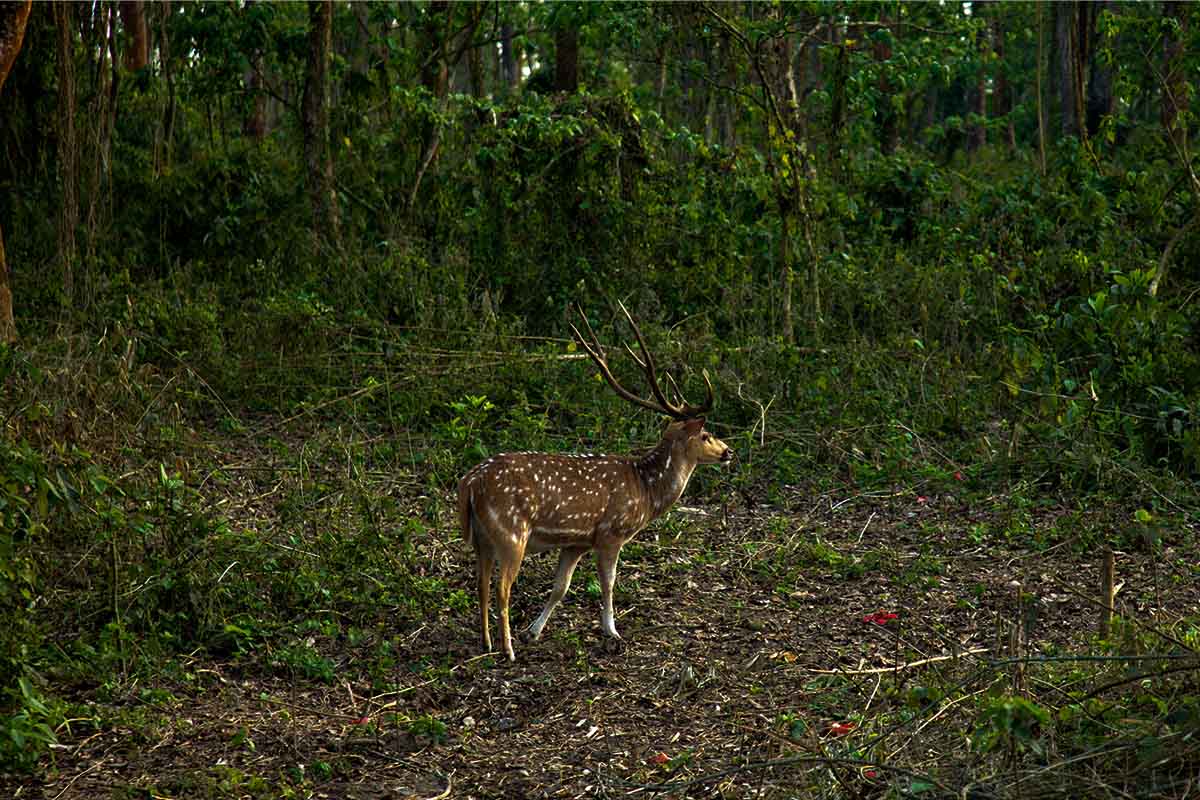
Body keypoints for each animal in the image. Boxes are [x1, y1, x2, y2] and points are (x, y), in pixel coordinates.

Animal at [456, 303, 729, 662]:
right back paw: (508, 649)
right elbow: (609, 583)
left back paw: (487, 642)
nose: (728, 451)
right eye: (706, 434)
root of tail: (469, 484)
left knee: (481, 583)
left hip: (481, 536)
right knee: (502, 587)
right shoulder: (611, 533)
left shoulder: (576, 542)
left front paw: (534, 631)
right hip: (512, 531)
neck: (646, 490)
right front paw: (612, 632)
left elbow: (560, 587)